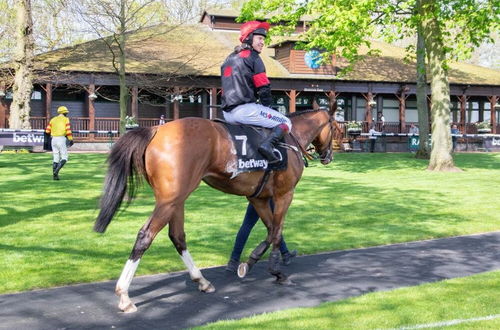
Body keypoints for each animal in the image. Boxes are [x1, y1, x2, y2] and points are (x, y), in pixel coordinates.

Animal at [94, 108, 336, 312]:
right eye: (335, 127)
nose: (329, 156)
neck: (290, 140)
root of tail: (157, 130)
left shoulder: (257, 197)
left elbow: (270, 230)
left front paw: (251, 261)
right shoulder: (284, 194)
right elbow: (276, 231)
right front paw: (276, 270)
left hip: (176, 199)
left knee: (177, 236)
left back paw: (201, 281)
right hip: (169, 201)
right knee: (146, 235)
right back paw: (124, 296)